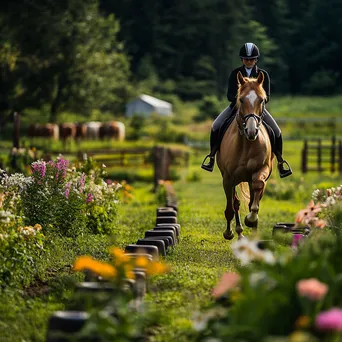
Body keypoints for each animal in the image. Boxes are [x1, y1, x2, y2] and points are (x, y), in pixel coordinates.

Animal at [216, 71, 276, 239]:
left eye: (262, 100)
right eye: (241, 99)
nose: (251, 131)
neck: (247, 144)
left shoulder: (261, 171)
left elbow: (256, 195)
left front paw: (251, 219)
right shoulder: (228, 178)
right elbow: (231, 207)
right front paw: (229, 233)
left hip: (250, 178)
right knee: (235, 203)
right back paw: (238, 233)